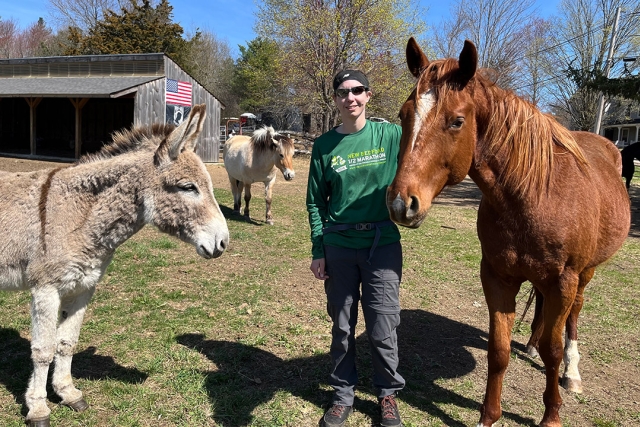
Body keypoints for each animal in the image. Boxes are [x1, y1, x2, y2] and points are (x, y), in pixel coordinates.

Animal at [0, 104, 229, 427]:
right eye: (188, 187)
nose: (223, 242)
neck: (79, 214)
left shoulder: (83, 287)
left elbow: (66, 342)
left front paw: (68, 393)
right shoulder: (45, 289)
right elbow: (43, 350)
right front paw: (38, 407)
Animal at [386, 38, 630, 427]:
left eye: (457, 121)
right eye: (404, 114)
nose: (400, 204)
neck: (534, 194)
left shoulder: (564, 280)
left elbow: (553, 350)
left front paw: (551, 414)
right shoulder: (498, 277)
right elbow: (498, 350)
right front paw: (488, 416)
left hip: (585, 274)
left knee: (573, 317)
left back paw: (572, 373)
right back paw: (531, 342)